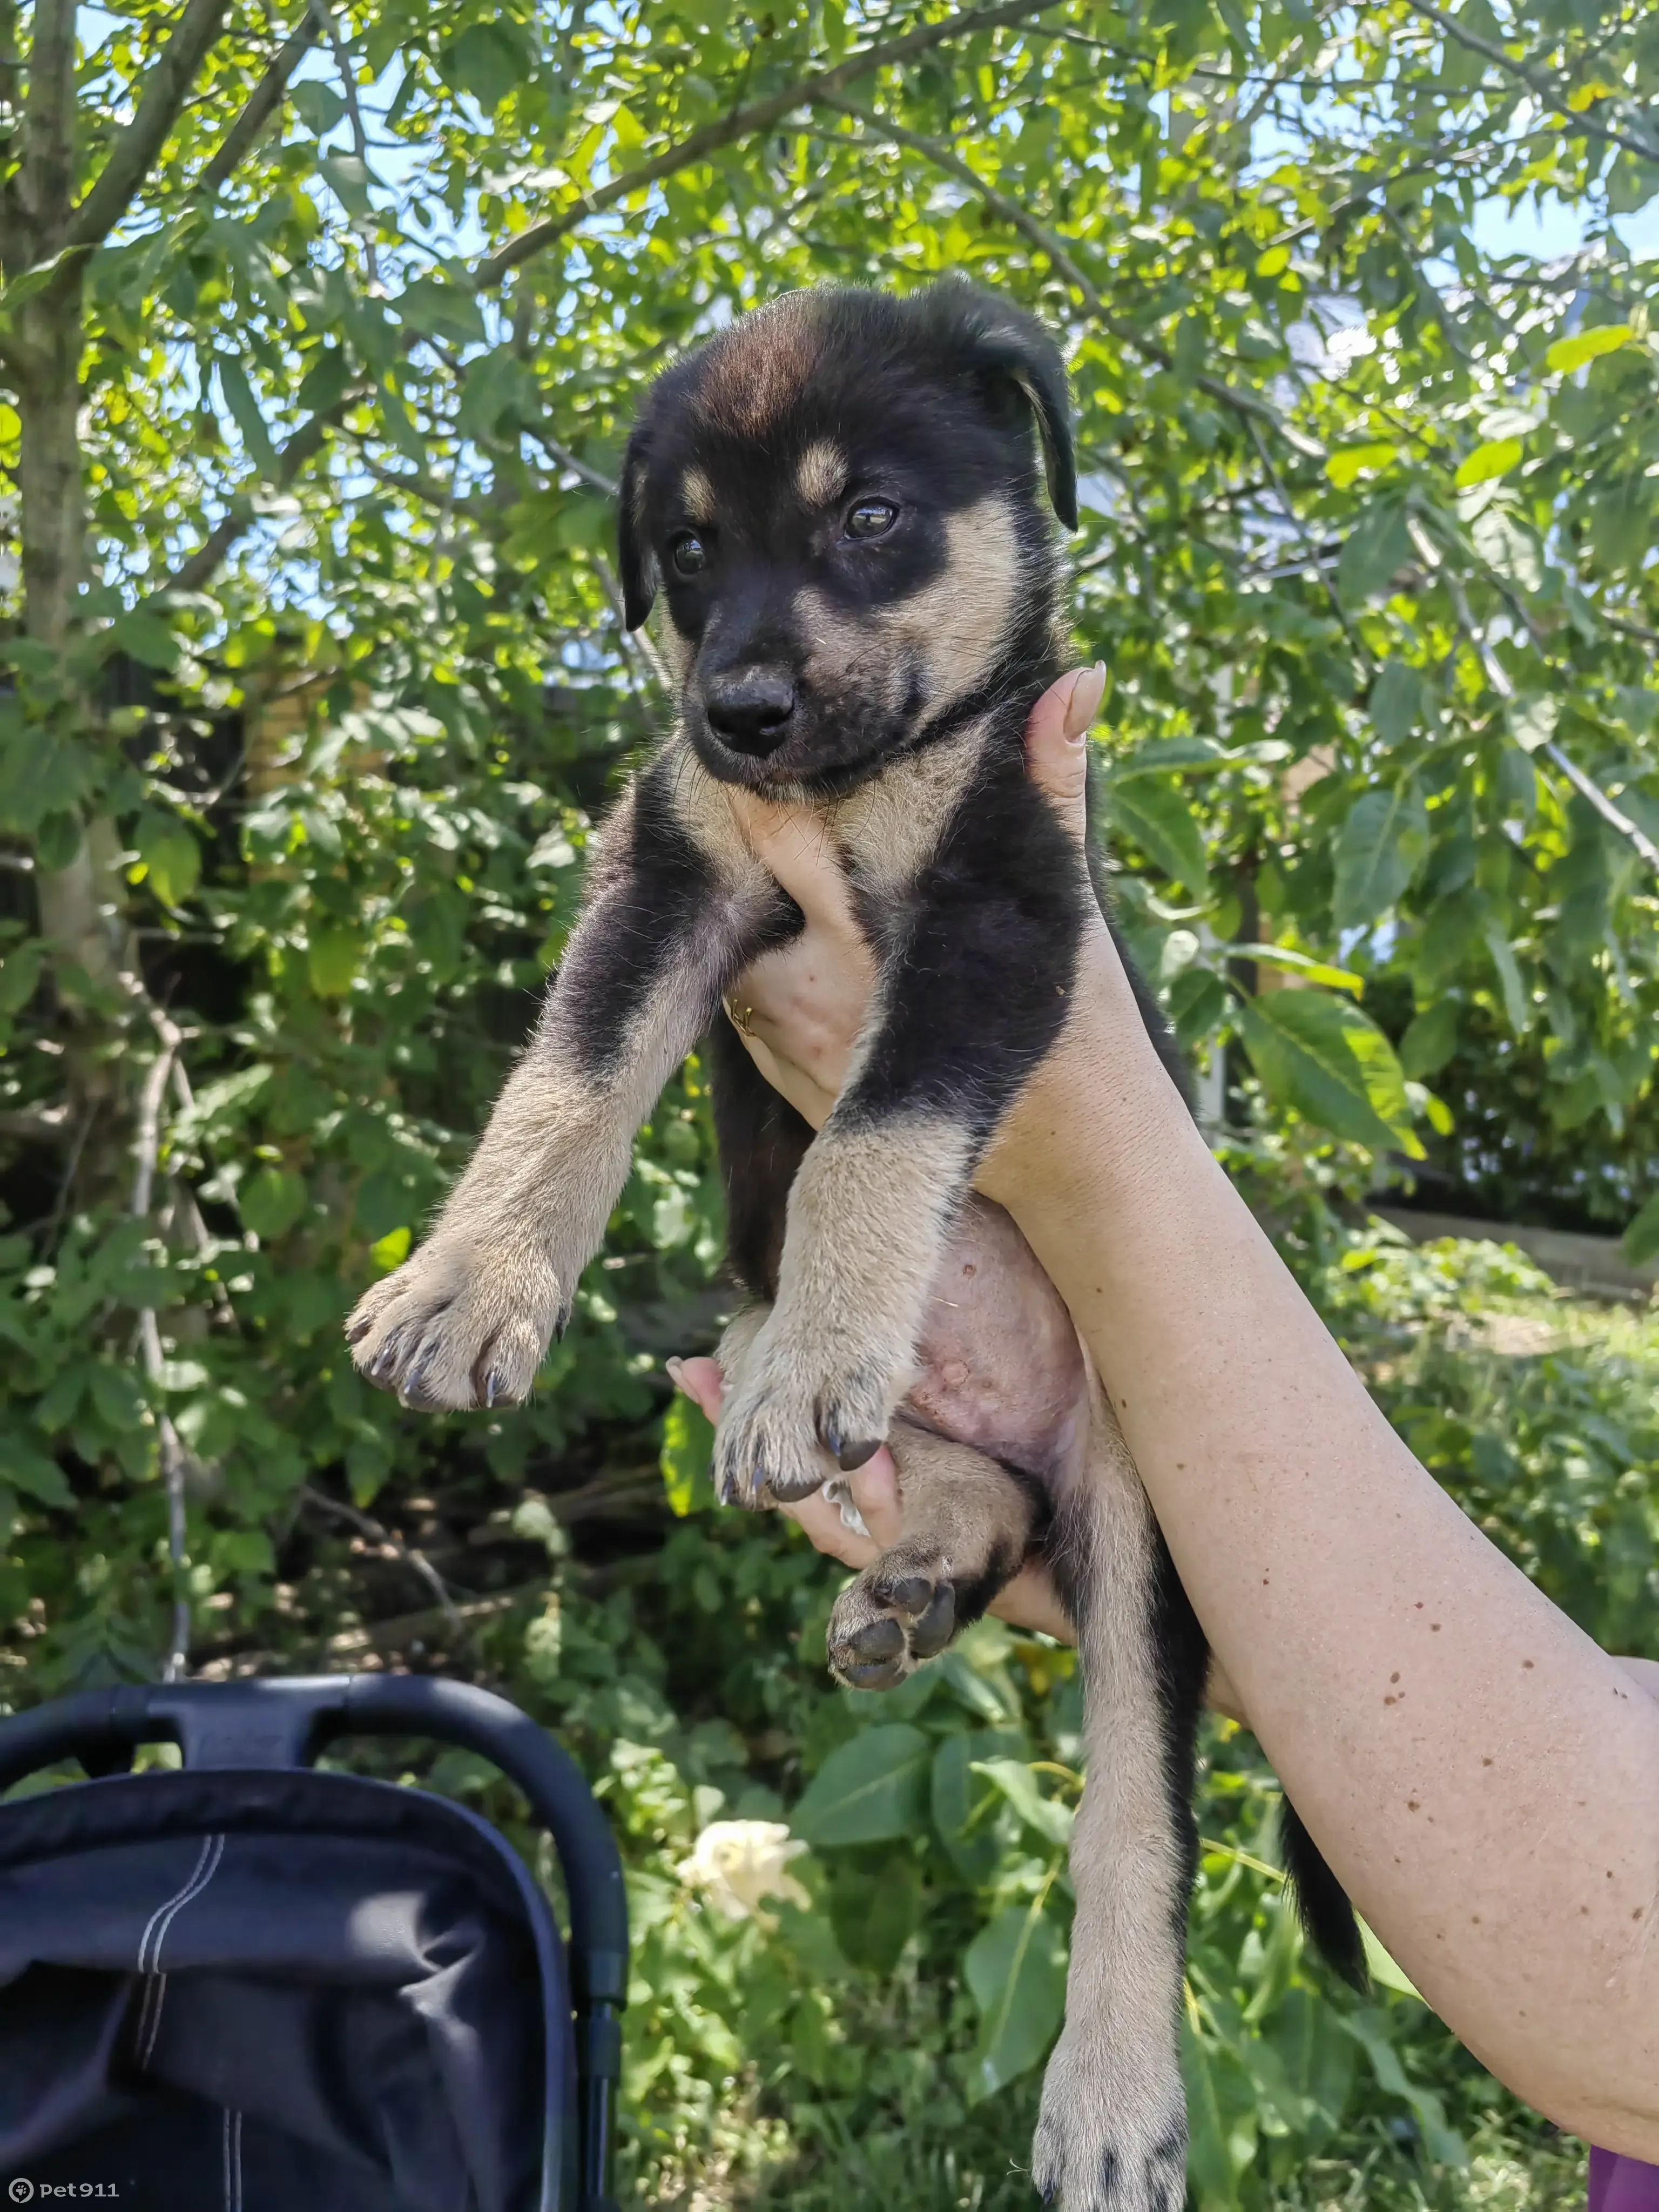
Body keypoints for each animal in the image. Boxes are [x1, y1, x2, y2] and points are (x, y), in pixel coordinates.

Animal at [347, 281, 1363, 2212]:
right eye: (684, 550)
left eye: (868, 517)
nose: (736, 709)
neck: (851, 789)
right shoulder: (669, 864)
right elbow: (569, 1076)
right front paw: (470, 1283)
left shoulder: (1003, 906)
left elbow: (877, 1136)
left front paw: (827, 1339)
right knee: (972, 1492)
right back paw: (913, 1557)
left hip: (1144, 1516)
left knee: (1133, 1812)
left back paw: (1112, 2093)